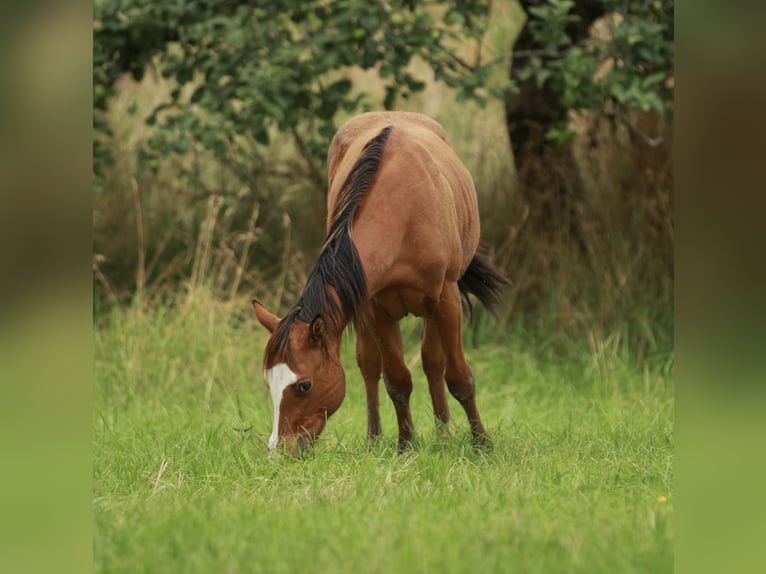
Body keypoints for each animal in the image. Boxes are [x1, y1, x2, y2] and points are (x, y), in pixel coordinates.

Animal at [252, 111, 510, 460]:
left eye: (304, 385)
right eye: (269, 383)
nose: (279, 452)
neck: (403, 214)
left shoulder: (445, 299)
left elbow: (458, 377)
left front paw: (482, 444)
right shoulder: (375, 308)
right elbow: (396, 380)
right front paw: (405, 445)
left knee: (433, 362)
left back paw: (444, 433)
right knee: (370, 366)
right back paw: (375, 438)